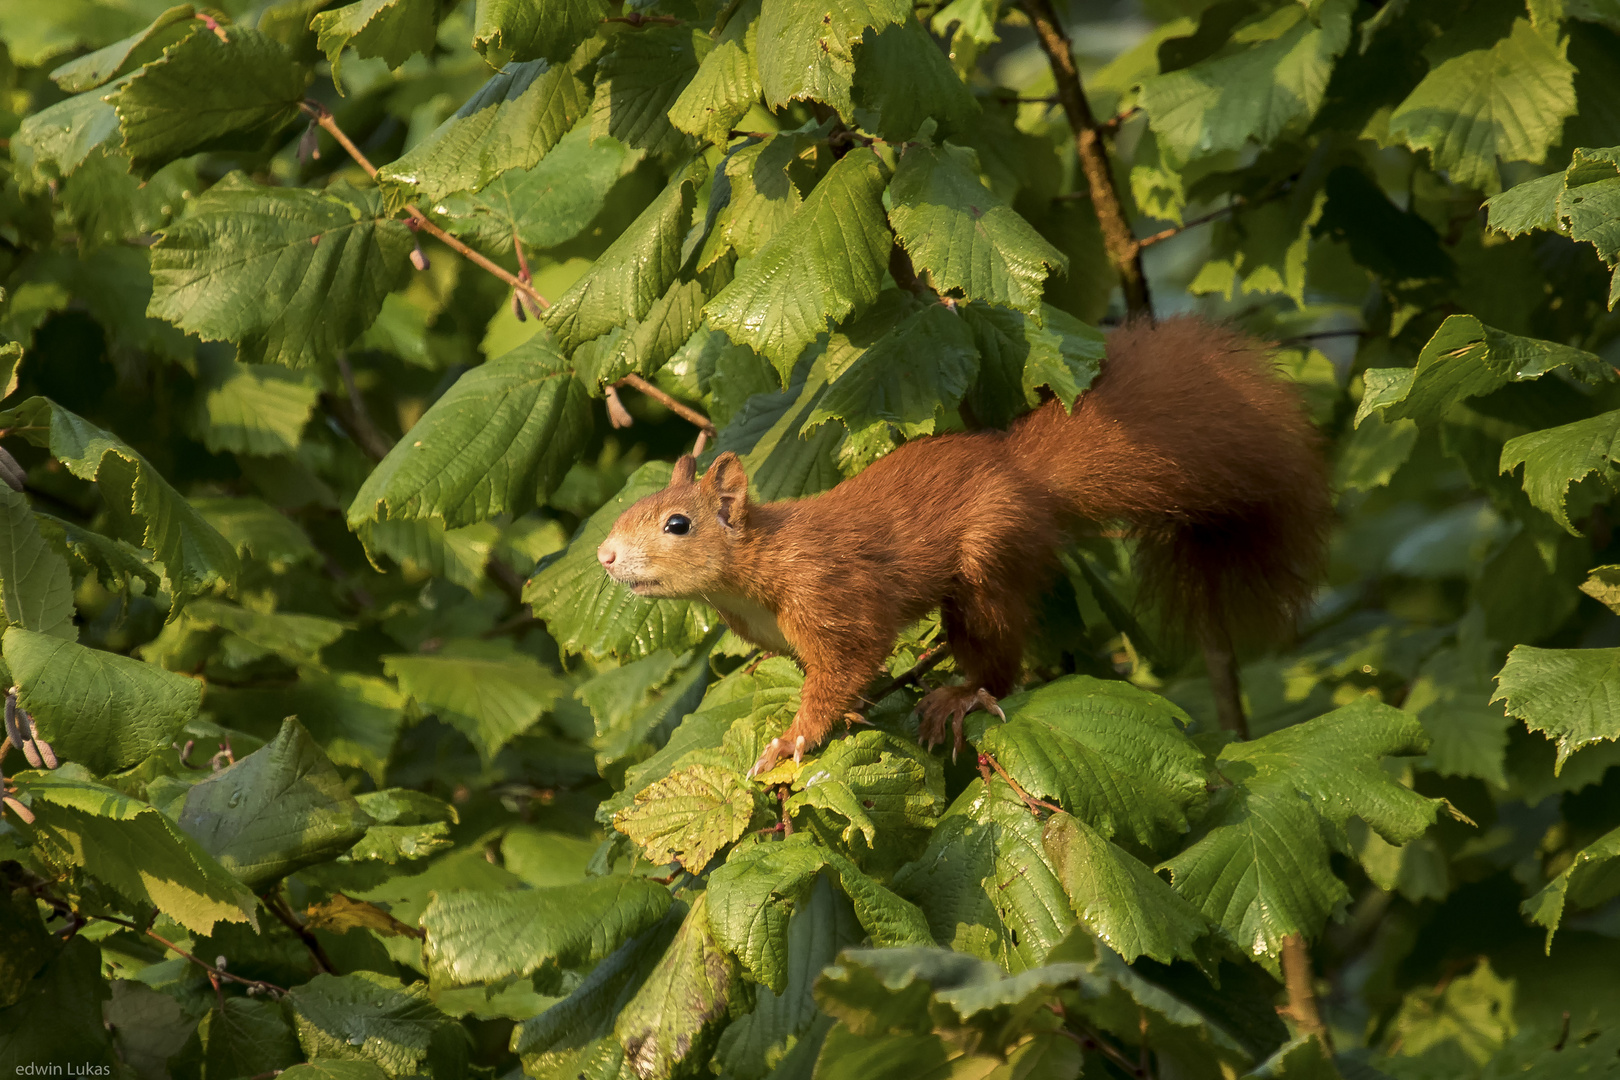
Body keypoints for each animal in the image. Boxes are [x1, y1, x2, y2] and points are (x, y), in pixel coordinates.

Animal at [596, 317, 1328, 780]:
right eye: (631, 511)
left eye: (678, 525)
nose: (603, 555)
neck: (753, 573)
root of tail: (1024, 472)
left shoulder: (830, 596)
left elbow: (848, 663)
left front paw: (793, 739)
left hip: (988, 562)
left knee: (999, 659)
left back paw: (963, 696)